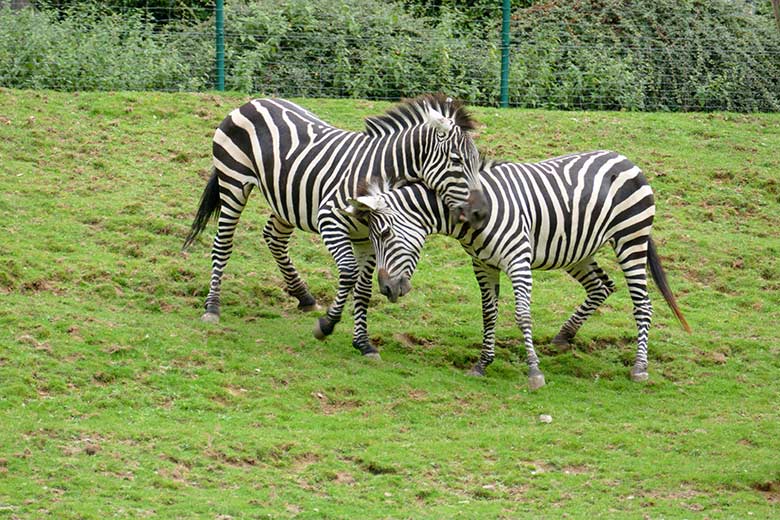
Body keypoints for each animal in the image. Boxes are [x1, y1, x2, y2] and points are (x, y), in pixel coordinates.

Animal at [184, 93, 488, 356]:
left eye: (476, 161)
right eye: (456, 160)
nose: (482, 213)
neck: (380, 176)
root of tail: (253, 101)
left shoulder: (368, 237)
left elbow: (364, 288)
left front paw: (363, 343)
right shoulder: (329, 220)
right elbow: (349, 273)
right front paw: (327, 325)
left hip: (286, 198)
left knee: (273, 237)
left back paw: (304, 296)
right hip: (234, 182)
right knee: (223, 244)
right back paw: (212, 307)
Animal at [344, 149, 692, 386]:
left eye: (384, 234)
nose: (386, 288)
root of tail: (624, 159)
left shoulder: (517, 259)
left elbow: (523, 314)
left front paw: (534, 371)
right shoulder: (483, 264)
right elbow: (489, 314)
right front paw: (482, 364)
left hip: (631, 238)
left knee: (643, 304)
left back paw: (640, 367)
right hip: (578, 250)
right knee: (601, 286)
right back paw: (565, 335)